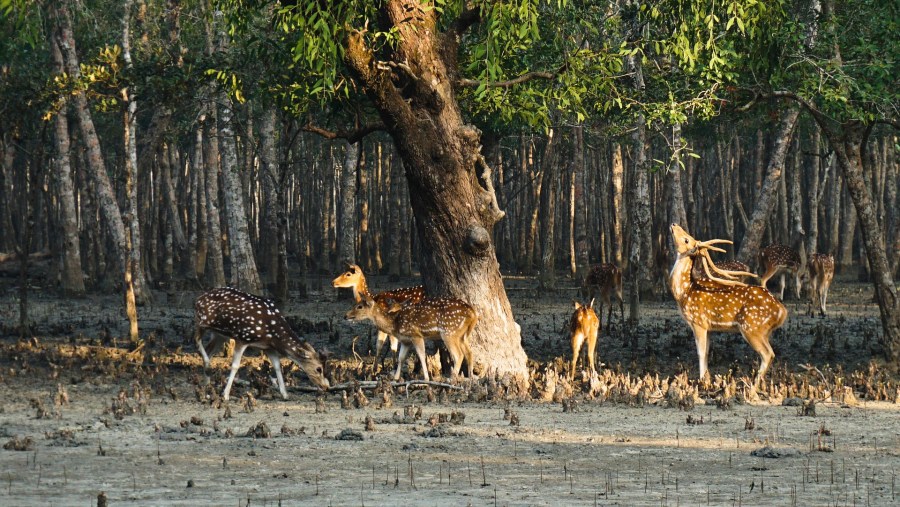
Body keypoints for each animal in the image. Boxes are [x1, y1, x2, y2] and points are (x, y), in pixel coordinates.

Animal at [193, 286, 330, 400]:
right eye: (319, 369)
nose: (325, 387)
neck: (273, 334)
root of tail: (199, 298)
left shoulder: (268, 347)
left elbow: (277, 366)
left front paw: (285, 394)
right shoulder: (243, 338)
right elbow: (235, 366)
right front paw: (225, 395)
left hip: (219, 335)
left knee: (209, 350)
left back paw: (207, 385)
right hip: (202, 321)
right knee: (196, 340)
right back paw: (208, 369)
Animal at [342, 296, 478, 382]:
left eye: (359, 306)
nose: (346, 315)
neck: (395, 324)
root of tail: (473, 313)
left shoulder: (415, 335)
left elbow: (421, 355)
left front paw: (426, 378)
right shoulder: (405, 340)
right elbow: (401, 358)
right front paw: (396, 377)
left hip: (449, 332)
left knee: (458, 355)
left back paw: (452, 377)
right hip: (462, 335)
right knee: (469, 352)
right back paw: (471, 377)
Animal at [668, 224, 788, 386]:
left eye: (687, 239)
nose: (674, 225)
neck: (684, 292)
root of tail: (782, 311)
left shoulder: (698, 321)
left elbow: (700, 352)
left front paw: (702, 381)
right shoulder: (708, 327)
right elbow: (707, 352)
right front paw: (707, 379)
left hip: (751, 327)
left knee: (767, 354)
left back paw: (753, 385)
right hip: (764, 331)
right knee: (771, 353)